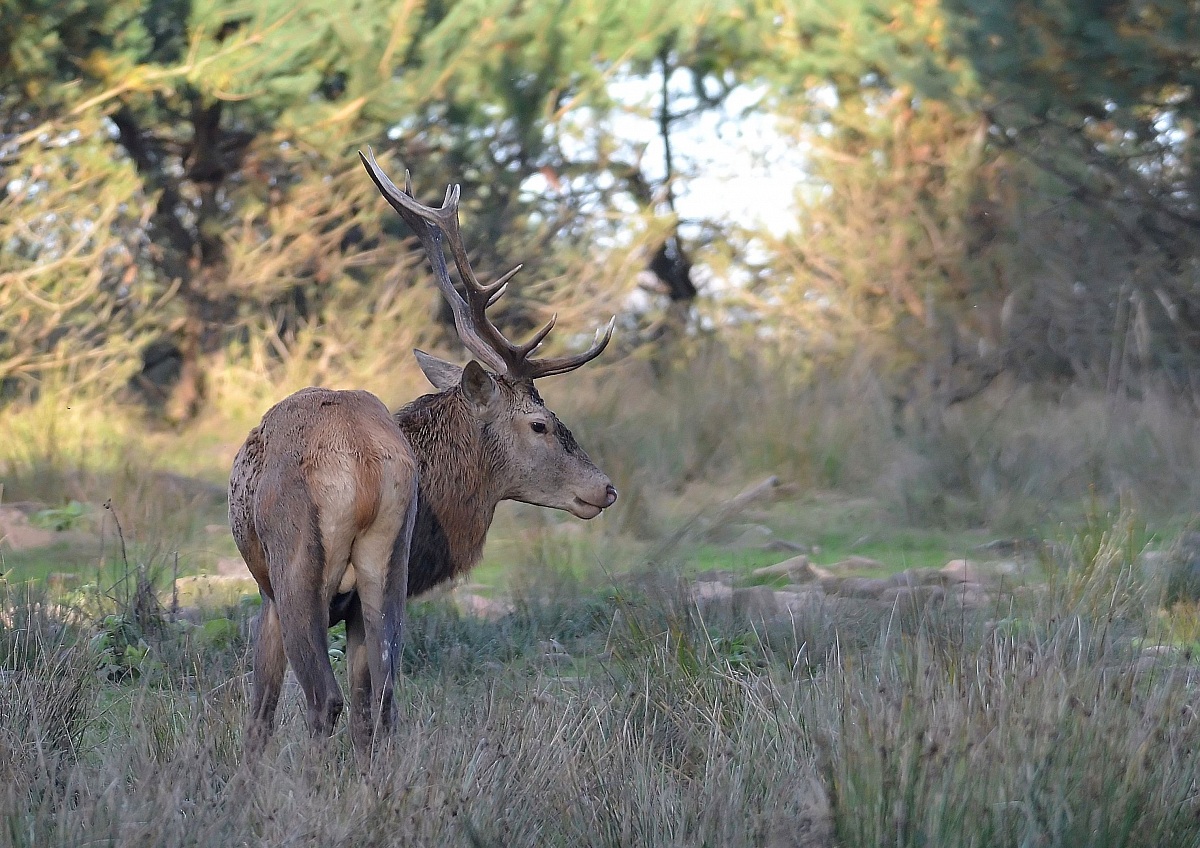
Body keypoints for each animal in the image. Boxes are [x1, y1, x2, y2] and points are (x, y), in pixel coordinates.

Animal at [228, 147, 619, 758]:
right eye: (540, 424)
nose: (605, 487)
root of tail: (362, 462)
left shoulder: (266, 592)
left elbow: (259, 714)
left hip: (295, 565)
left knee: (326, 699)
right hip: (385, 567)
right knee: (382, 700)